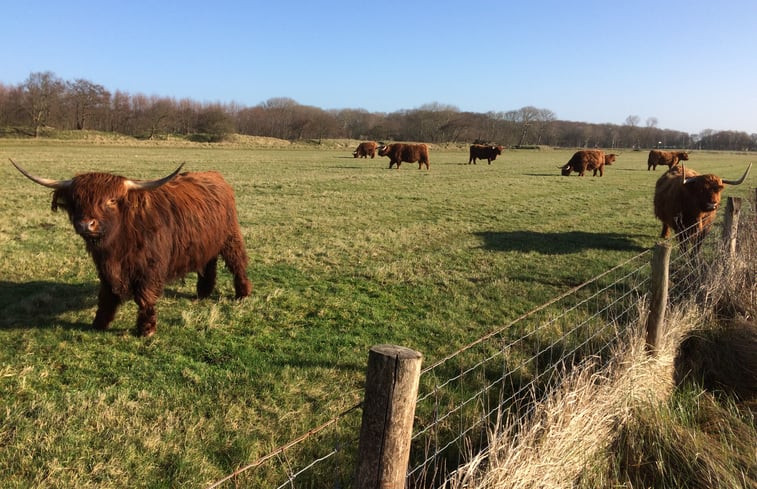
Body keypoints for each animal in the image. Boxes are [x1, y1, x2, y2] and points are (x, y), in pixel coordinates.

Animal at [11, 159, 254, 336]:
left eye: (111, 200)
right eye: (76, 201)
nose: (86, 224)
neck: (118, 244)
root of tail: (214, 175)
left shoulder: (150, 267)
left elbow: (145, 297)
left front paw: (146, 329)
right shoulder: (105, 267)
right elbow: (107, 293)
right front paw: (100, 322)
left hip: (230, 237)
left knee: (237, 263)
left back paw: (242, 294)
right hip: (206, 242)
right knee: (208, 264)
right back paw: (203, 292)